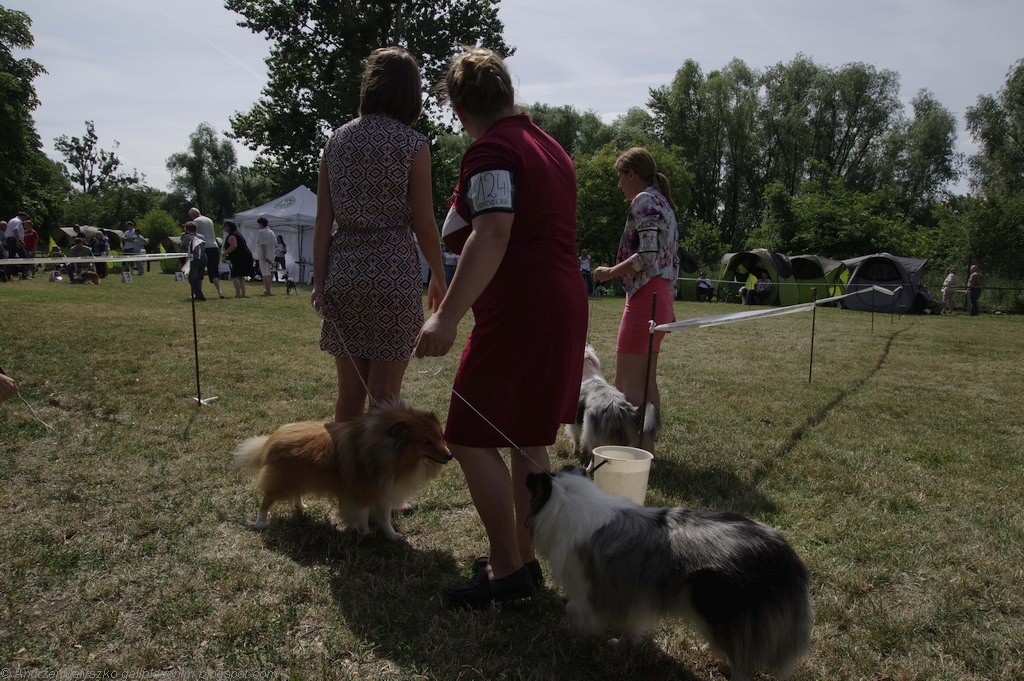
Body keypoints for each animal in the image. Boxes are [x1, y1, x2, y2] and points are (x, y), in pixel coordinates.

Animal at [233, 398, 452, 539]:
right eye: (426, 442)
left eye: (439, 437)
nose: (450, 456)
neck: (388, 451)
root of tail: (272, 438)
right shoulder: (362, 493)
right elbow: (363, 515)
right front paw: (365, 533)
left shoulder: (384, 491)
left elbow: (385, 519)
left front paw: (393, 536)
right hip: (282, 481)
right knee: (266, 500)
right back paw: (261, 523)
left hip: (298, 478)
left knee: (296, 494)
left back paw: (301, 506)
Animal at [526, 467, 812, 681]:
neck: (567, 499)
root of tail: (780, 551)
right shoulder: (636, 592)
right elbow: (631, 624)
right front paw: (620, 645)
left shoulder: (585, 588)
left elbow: (572, 609)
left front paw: (575, 636)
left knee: (742, 664)